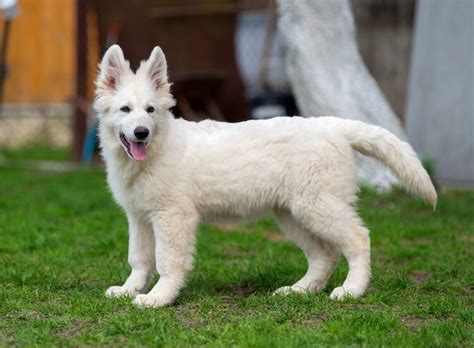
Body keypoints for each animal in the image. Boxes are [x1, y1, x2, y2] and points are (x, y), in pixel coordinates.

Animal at [93, 44, 436, 308]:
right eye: (125, 110)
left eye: (150, 110)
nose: (141, 132)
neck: (156, 149)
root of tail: (330, 125)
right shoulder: (139, 218)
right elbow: (139, 258)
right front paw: (128, 290)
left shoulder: (173, 216)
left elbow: (167, 261)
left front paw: (159, 297)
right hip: (292, 214)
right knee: (324, 254)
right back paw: (301, 290)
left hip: (317, 206)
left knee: (358, 238)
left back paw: (352, 289)